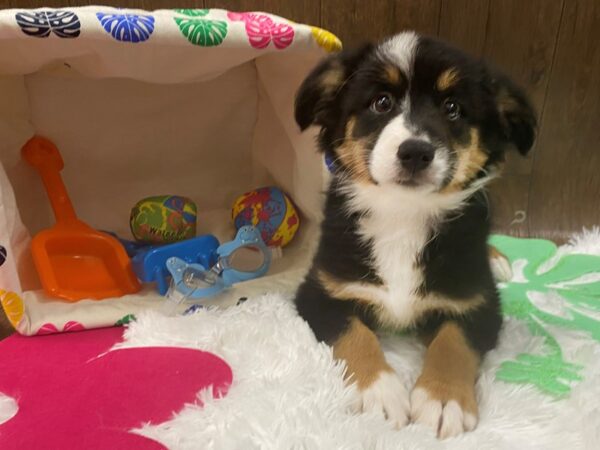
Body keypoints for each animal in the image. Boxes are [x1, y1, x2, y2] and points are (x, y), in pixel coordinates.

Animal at [294, 32, 536, 440]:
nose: (415, 152)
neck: (403, 215)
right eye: (381, 102)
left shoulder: (478, 303)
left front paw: (443, 400)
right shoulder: (322, 291)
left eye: (453, 108)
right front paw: (377, 393)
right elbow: (354, 334)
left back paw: (499, 260)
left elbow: (453, 342)